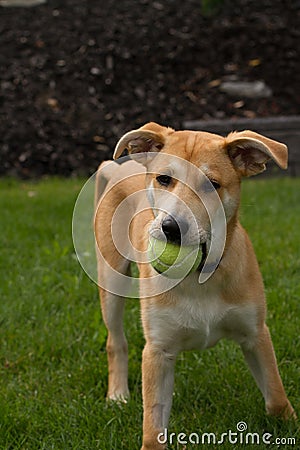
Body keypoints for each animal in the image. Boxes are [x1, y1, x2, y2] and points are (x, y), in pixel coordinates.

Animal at [94, 123, 296, 450]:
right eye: (164, 179)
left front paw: (288, 422)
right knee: (116, 340)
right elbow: (152, 426)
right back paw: (118, 394)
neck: (199, 275)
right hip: (111, 279)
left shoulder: (256, 333)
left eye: (212, 185)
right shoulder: (158, 351)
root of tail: (119, 166)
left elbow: (276, 395)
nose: (172, 228)